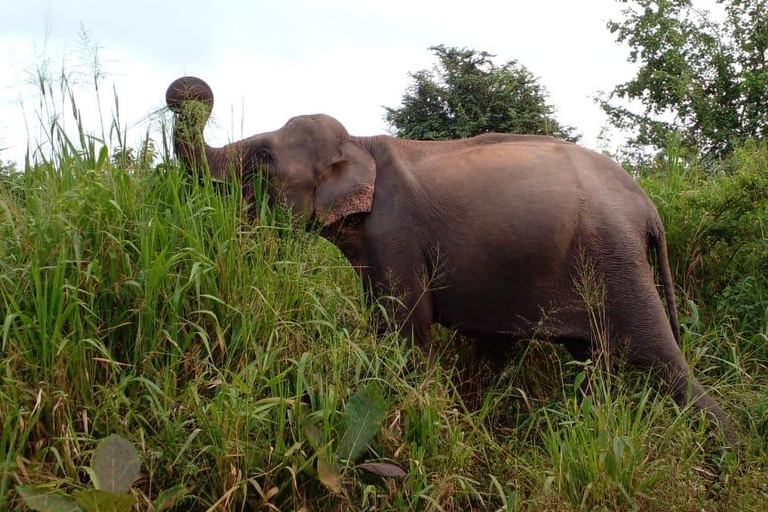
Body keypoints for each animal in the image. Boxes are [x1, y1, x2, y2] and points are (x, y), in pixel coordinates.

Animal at [164, 77, 736, 444]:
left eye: (262, 160)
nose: (186, 91)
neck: (361, 143)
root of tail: (648, 208)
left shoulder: (394, 232)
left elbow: (406, 330)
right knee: (591, 360)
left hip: (615, 258)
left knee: (659, 356)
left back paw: (729, 449)